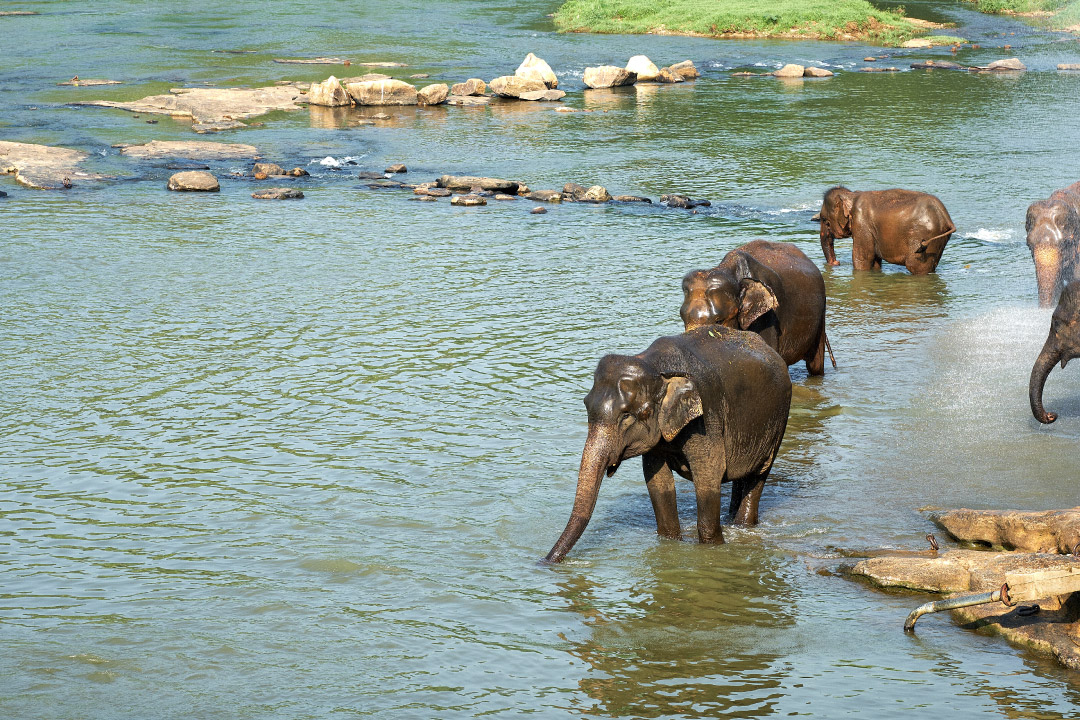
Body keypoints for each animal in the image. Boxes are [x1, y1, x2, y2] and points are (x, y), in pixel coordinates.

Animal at [544, 323, 790, 565]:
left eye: (627, 416)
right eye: (586, 405)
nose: (544, 562)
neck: (654, 366)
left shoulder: (707, 418)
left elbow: (709, 473)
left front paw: (712, 549)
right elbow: (657, 480)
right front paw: (670, 543)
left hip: (778, 422)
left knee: (758, 474)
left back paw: (743, 524)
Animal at [682, 241, 833, 377]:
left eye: (719, 321)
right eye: (683, 319)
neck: (729, 271)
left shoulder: (768, 318)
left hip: (821, 315)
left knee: (815, 366)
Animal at [816, 185, 954, 276]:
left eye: (824, 220)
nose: (836, 263)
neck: (851, 195)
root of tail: (946, 217)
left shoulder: (862, 224)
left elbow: (862, 258)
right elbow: (875, 260)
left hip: (924, 239)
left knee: (915, 266)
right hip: (938, 240)